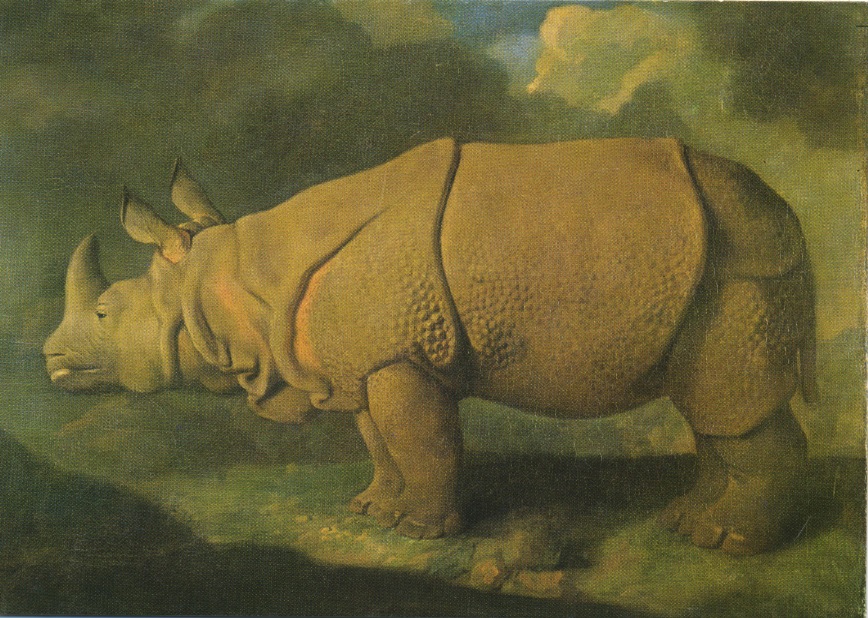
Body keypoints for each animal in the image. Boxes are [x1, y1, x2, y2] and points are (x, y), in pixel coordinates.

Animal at [44, 138, 817, 554]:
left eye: (106, 313)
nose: (50, 360)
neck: (235, 277)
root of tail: (783, 207)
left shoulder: (400, 354)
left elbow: (422, 440)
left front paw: (423, 533)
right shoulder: (365, 356)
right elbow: (378, 441)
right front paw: (373, 512)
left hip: (740, 262)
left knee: (729, 407)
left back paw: (734, 547)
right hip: (727, 256)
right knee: (714, 407)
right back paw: (688, 526)